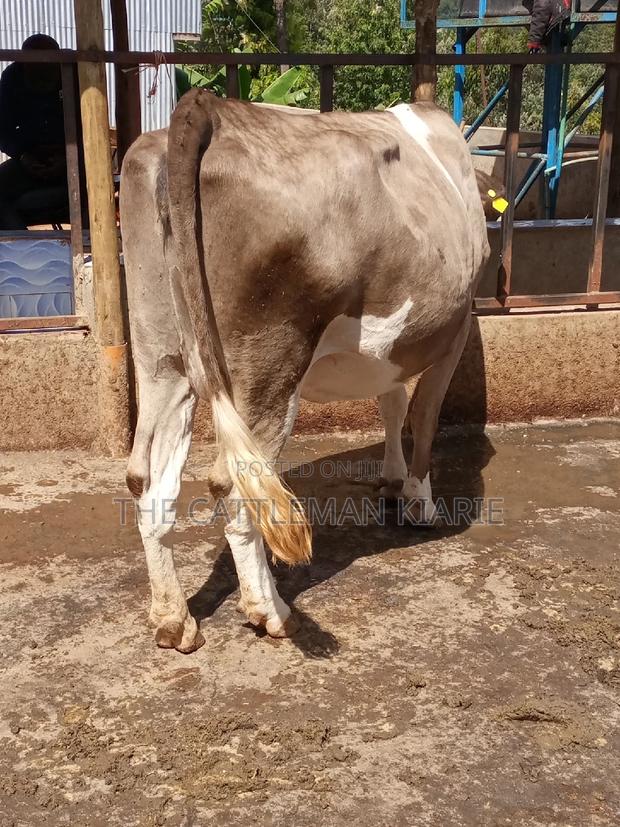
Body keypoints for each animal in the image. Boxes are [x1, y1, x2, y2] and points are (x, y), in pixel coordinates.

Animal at [120, 90, 490, 653]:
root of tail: (208, 106)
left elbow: (392, 399)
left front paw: (392, 480)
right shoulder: (456, 326)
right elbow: (424, 415)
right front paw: (418, 502)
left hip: (163, 354)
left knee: (148, 480)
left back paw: (173, 619)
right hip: (270, 361)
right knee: (237, 485)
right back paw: (270, 611)